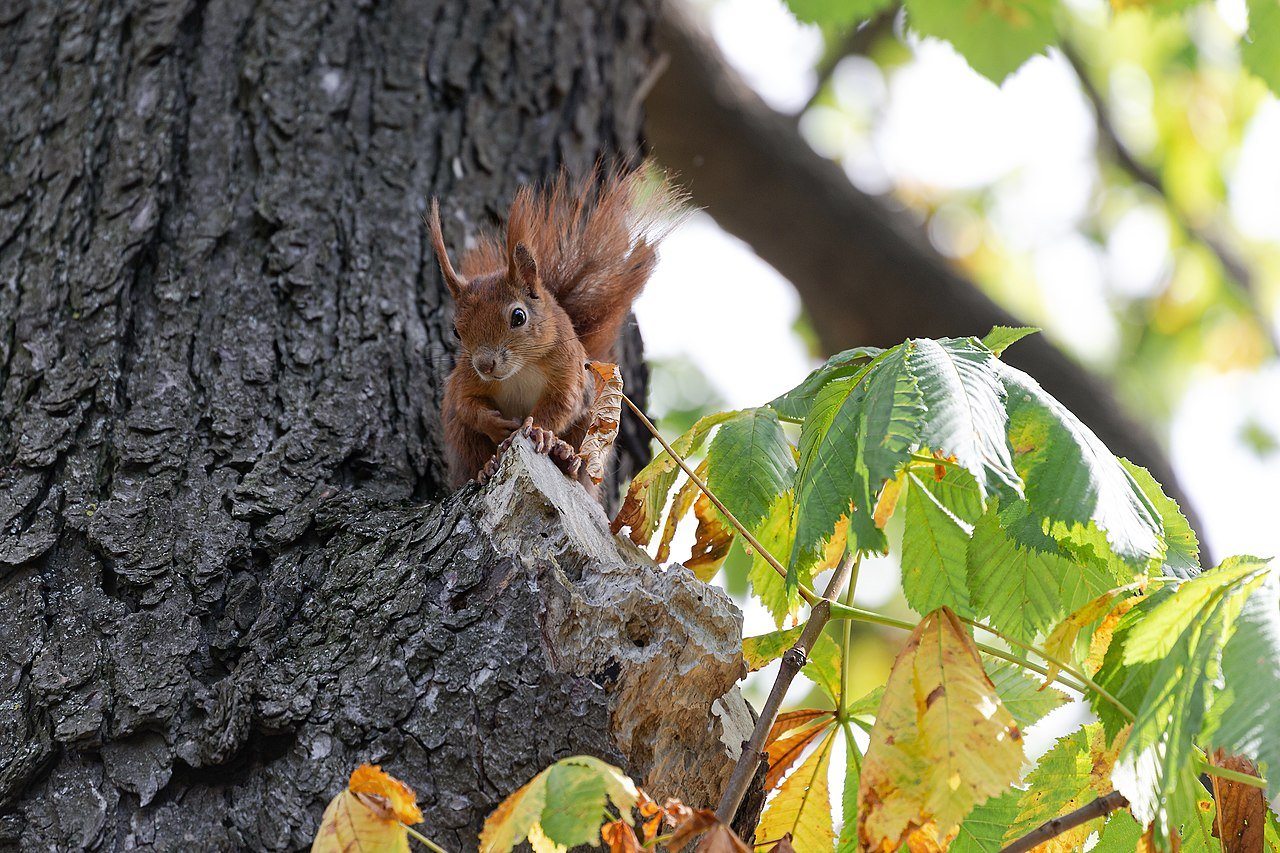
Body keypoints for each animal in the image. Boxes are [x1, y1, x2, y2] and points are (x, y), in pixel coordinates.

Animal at [429, 165, 684, 491]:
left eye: (519, 316)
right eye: (456, 331)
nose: (485, 365)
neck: (520, 370)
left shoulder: (569, 369)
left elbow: (561, 404)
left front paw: (538, 430)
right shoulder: (466, 379)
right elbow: (467, 405)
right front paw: (495, 424)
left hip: (589, 421)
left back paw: (566, 456)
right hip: (460, 436)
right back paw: (487, 468)